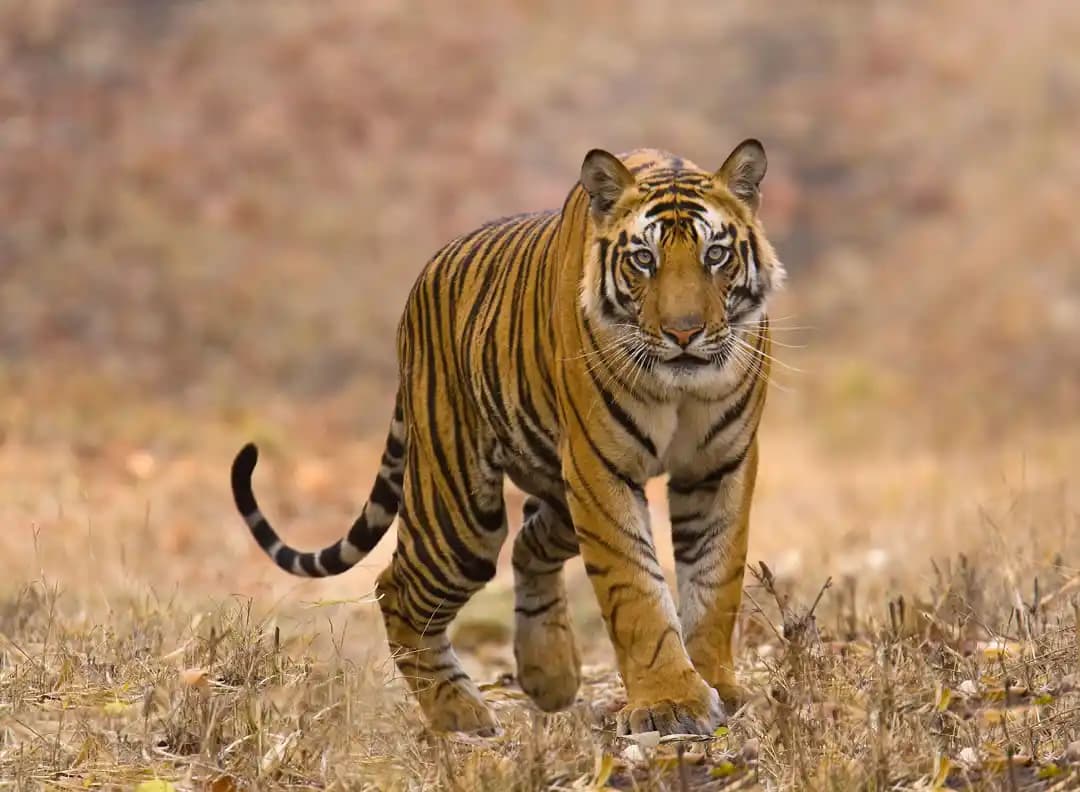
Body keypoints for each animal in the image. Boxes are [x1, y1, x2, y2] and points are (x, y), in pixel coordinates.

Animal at [230, 140, 784, 736]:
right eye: (643, 259)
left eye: (716, 255)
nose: (685, 333)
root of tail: (419, 287)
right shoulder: (600, 469)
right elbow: (634, 586)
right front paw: (670, 703)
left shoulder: (718, 467)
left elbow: (715, 580)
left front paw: (718, 685)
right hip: (462, 513)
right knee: (397, 588)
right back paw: (460, 713)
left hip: (557, 494)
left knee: (527, 542)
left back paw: (549, 675)